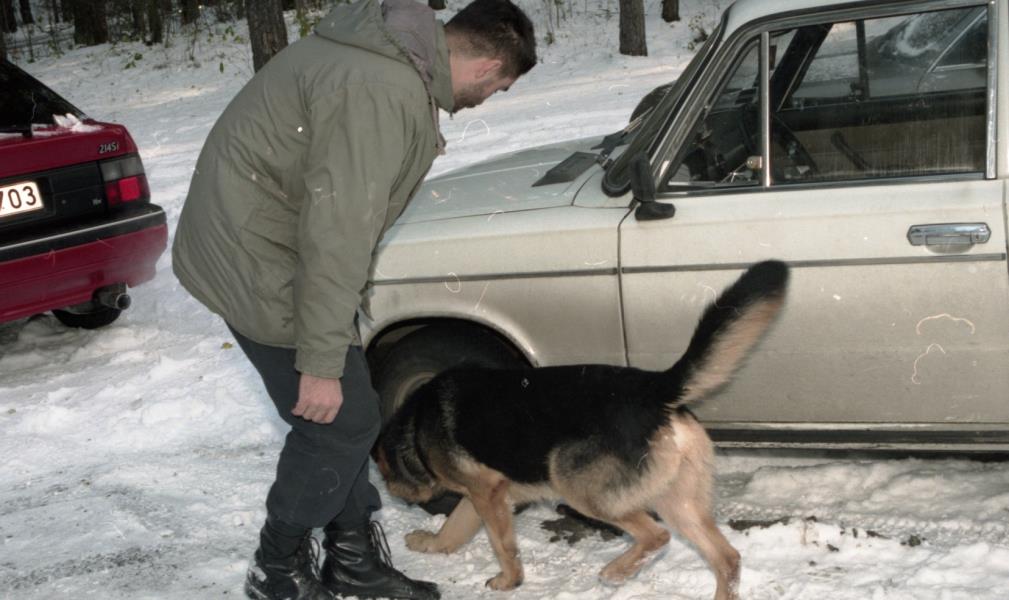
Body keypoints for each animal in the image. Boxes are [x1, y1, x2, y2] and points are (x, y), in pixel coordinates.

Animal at [375, 260, 789, 600]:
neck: (414, 427)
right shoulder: (484, 493)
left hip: (577, 485)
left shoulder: (488, 494)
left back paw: (615, 572)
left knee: (656, 536)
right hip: (678, 502)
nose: (389, 492)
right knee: (727, 558)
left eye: (382, 469)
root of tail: (655, 387)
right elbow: (455, 528)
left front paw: (509, 581)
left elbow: (501, 544)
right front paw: (432, 544)